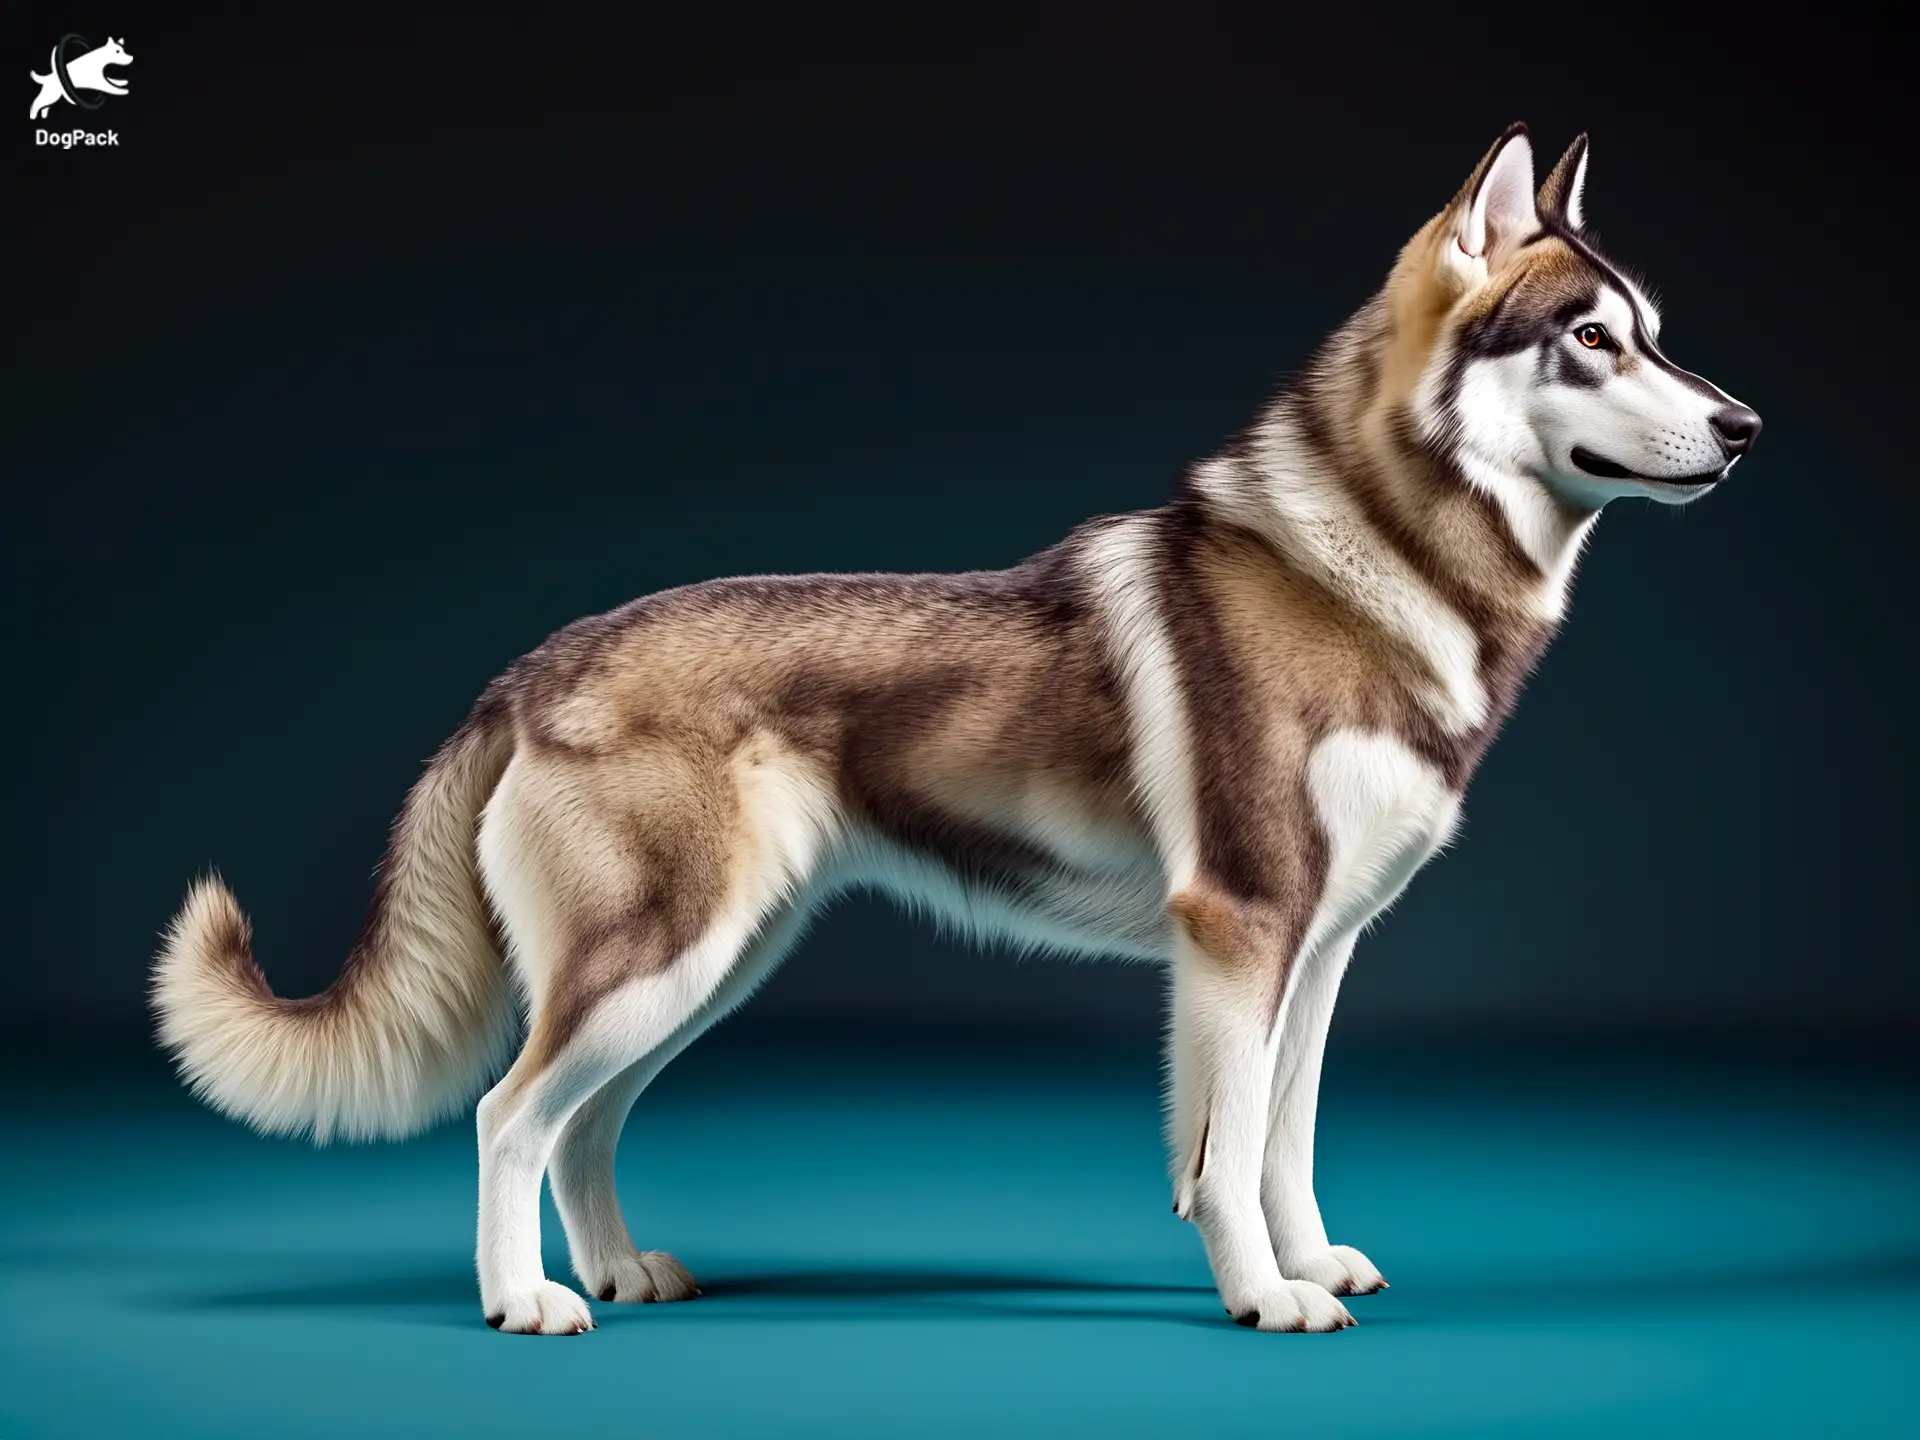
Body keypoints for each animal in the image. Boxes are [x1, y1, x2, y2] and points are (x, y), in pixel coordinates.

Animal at [157, 129, 1758, 1336]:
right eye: (1591, 339)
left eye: (1657, 339)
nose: (1744, 427)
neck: (1375, 570)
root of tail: (535, 664)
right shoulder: (1239, 931)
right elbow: (1226, 1153)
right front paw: (1265, 1298)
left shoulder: (1320, 948)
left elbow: (1282, 1141)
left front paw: (1307, 1265)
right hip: (658, 960)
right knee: (507, 1115)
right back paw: (527, 1303)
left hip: (705, 971)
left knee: (580, 1125)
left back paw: (615, 1273)